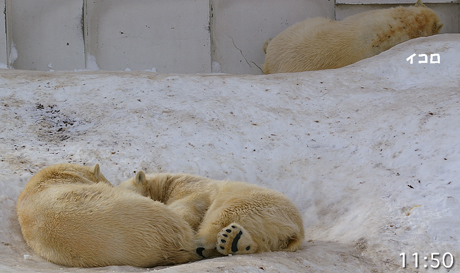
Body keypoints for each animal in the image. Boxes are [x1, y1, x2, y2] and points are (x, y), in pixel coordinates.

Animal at [120, 170, 304, 258]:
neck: (165, 184)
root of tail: (297, 230)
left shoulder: (191, 189)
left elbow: (187, 210)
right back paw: (234, 243)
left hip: (255, 203)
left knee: (222, 215)